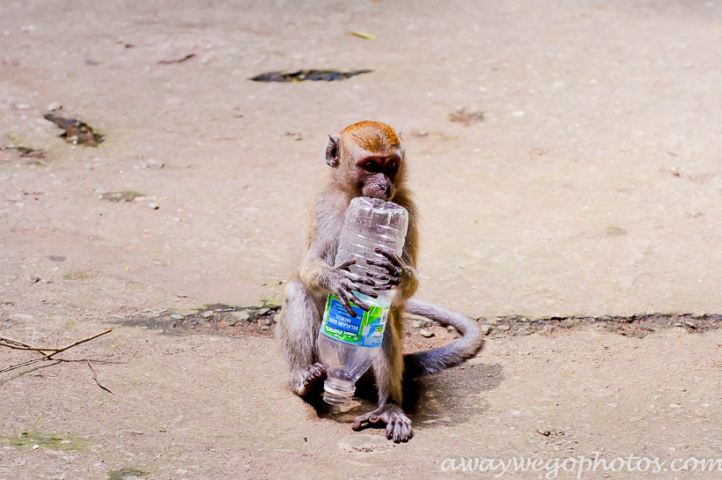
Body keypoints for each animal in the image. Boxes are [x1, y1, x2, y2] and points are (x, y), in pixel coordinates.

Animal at [276, 121, 484, 442]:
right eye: (371, 166)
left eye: (391, 166)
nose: (384, 186)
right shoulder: (324, 201)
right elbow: (310, 267)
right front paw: (336, 278)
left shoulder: (406, 205)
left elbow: (407, 284)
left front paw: (397, 274)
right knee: (298, 290)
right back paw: (305, 380)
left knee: (381, 326)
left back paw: (389, 407)